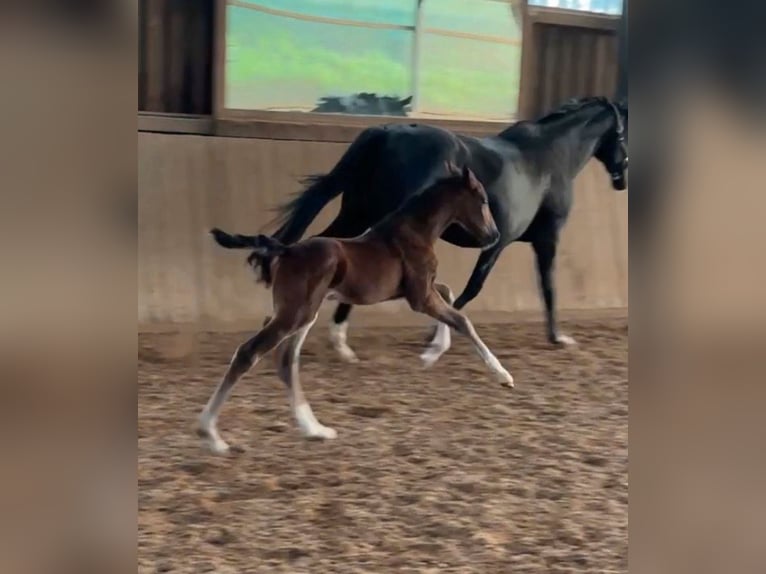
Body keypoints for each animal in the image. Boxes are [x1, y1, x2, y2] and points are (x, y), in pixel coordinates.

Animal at [198, 163, 512, 454]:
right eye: (483, 199)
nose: (494, 235)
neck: (415, 231)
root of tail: (286, 250)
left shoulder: (417, 291)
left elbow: (449, 294)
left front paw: (431, 353)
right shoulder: (419, 296)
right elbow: (461, 319)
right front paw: (502, 375)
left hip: (303, 314)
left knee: (286, 361)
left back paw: (315, 430)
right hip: (295, 315)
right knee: (249, 353)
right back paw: (211, 435)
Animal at [258, 96, 632, 362]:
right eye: (626, 131)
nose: (622, 180)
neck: (549, 157)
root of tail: (386, 133)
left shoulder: (508, 241)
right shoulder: (525, 240)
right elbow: (528, 285)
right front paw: (558, 337)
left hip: (356, 213)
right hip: (373, 217)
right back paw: (337, 339)